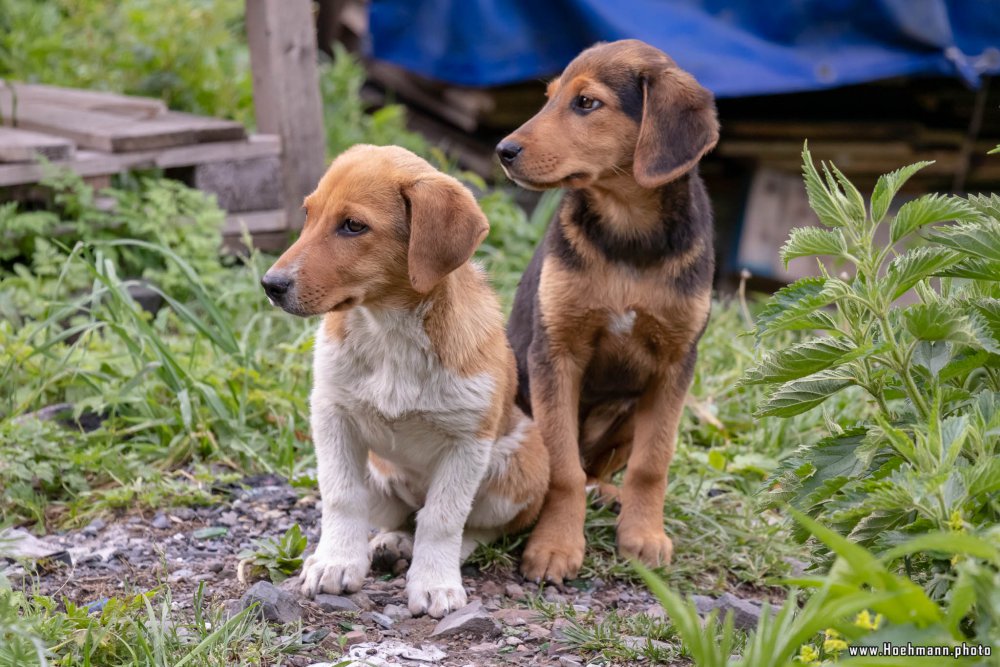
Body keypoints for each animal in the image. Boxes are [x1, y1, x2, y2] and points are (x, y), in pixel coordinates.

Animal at [260, 144, 548, 620]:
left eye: (353, 226)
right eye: (308, 214)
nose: (270, 285)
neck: (390, 332)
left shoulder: (468, 442)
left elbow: (443, 519)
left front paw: (434, 584)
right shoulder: (332, 414)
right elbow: (341, 496)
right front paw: (336, 561)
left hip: (519, 468)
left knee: (471, 526)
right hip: (379, 473)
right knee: (400, 516)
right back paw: (389, 543)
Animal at [494, 40, 716, 584]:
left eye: (586, 103)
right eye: (549, 99)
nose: (503, 151)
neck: (628, 234)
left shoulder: (676, 363)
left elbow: (652, 464)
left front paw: (644, 535)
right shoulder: (556, 352)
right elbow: (563, 469)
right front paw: (554, 546)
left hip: (631, 411)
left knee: (601, 468)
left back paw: (610, 495)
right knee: (577, 466)